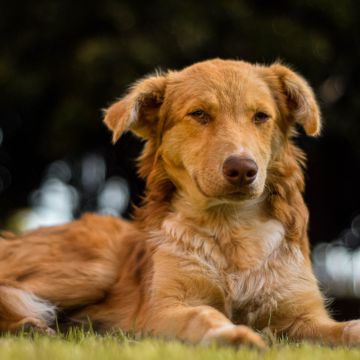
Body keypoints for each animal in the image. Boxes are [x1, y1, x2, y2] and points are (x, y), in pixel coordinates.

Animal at [0, 59, 360, 348]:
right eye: (199, 114)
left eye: (261, 116)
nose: (243, 169)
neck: (231, 228)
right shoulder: (165, 308)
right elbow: (203, 315)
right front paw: (232, 335)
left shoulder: (303, 314)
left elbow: (345, 327)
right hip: (93, 268)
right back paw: (29, 325)